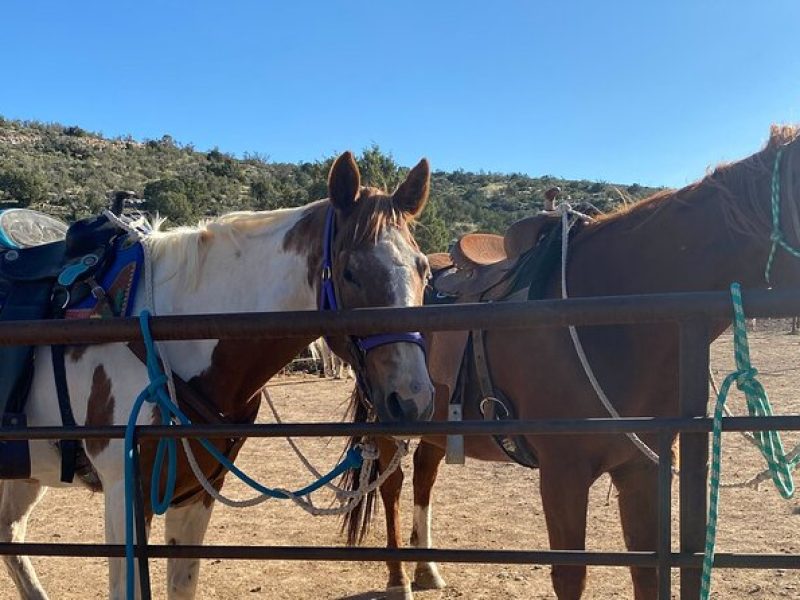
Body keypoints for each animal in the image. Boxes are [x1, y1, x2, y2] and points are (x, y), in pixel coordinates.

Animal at [0, 151, 434, 600]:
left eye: (424, 270)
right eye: (350, 272)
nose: (412, 399)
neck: (170, 331)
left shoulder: (196, 493)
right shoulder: (125, 494)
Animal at [340, 126, 800, 600]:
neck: (612, 314)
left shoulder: (640, 469)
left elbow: (647, 571)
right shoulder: (564, 475)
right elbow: (570, 576)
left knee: (423, 476)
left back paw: (427, 568)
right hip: (390, 416)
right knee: (392, 486)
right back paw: (398, 578)